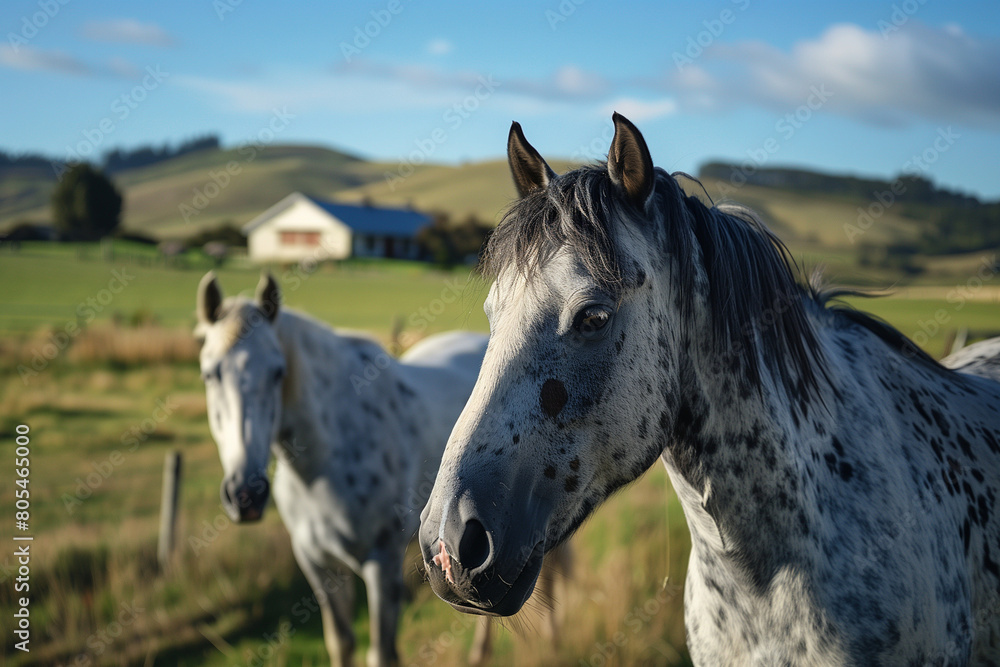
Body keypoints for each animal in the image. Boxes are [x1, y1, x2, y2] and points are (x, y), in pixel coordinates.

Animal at [195, 272, 491, 667]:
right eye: (209, 374)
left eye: (278, 372)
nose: (246, 495)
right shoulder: (319, 565)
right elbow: (341, 641)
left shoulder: (382, 564)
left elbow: (381, 653)